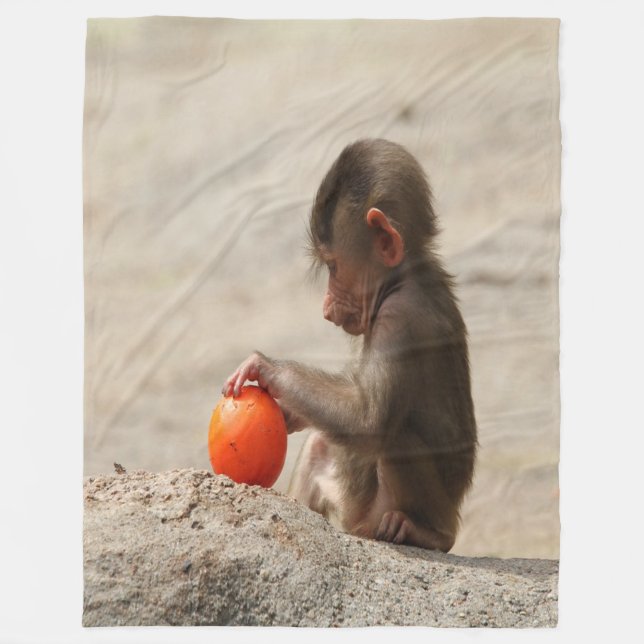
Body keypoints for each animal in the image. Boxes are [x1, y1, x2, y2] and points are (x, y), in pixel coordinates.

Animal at [222, 138, 477, 552]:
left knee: (393, 435)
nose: (325, 308)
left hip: (386, 509)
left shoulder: (400, 318)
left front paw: (266, 368)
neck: (403, 277)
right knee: (320, 445)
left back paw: (429, 532)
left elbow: (367, 419)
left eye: (333, 267)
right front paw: (289, 412)